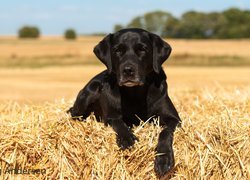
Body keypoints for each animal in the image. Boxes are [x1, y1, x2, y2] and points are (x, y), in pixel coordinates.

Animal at [68, 28, 181, 177]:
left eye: (142, 49)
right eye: (117, 50)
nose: (128, 70)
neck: (135, 94)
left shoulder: (174, 119)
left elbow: (165, 132)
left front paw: (164, 159)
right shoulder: (111, 116)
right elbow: (119, 123)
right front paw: (127, 138)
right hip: (90, 91)